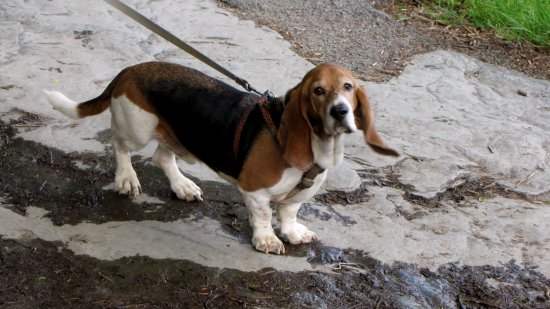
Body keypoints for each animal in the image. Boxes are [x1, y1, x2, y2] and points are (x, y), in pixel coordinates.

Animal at [45, 62, 398, 253]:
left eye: (348, 87)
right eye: (318, 91)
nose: (340, 112)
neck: (317, 145)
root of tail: (130, 70)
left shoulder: (298, 197)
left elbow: (289, 211)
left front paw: (293, 231)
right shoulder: (254, 190)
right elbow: (263, 216)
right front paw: (267, 240)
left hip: (175, 135)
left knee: (162, 157)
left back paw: (183, 186)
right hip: (137, 129)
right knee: (119, 145)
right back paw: (126, 178)